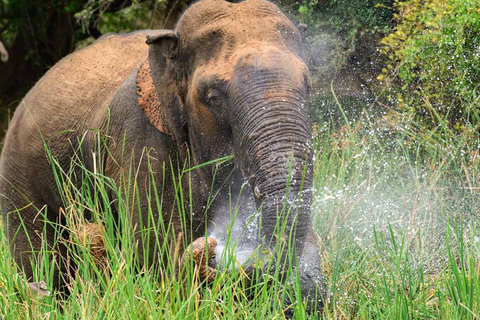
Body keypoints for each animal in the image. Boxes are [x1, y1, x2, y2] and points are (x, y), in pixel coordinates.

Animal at [0, 0, 326, 312]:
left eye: (308, 86)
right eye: (213, 98)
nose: (213, 247)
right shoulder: (139, 141)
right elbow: (153, 252)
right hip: (18, 177)